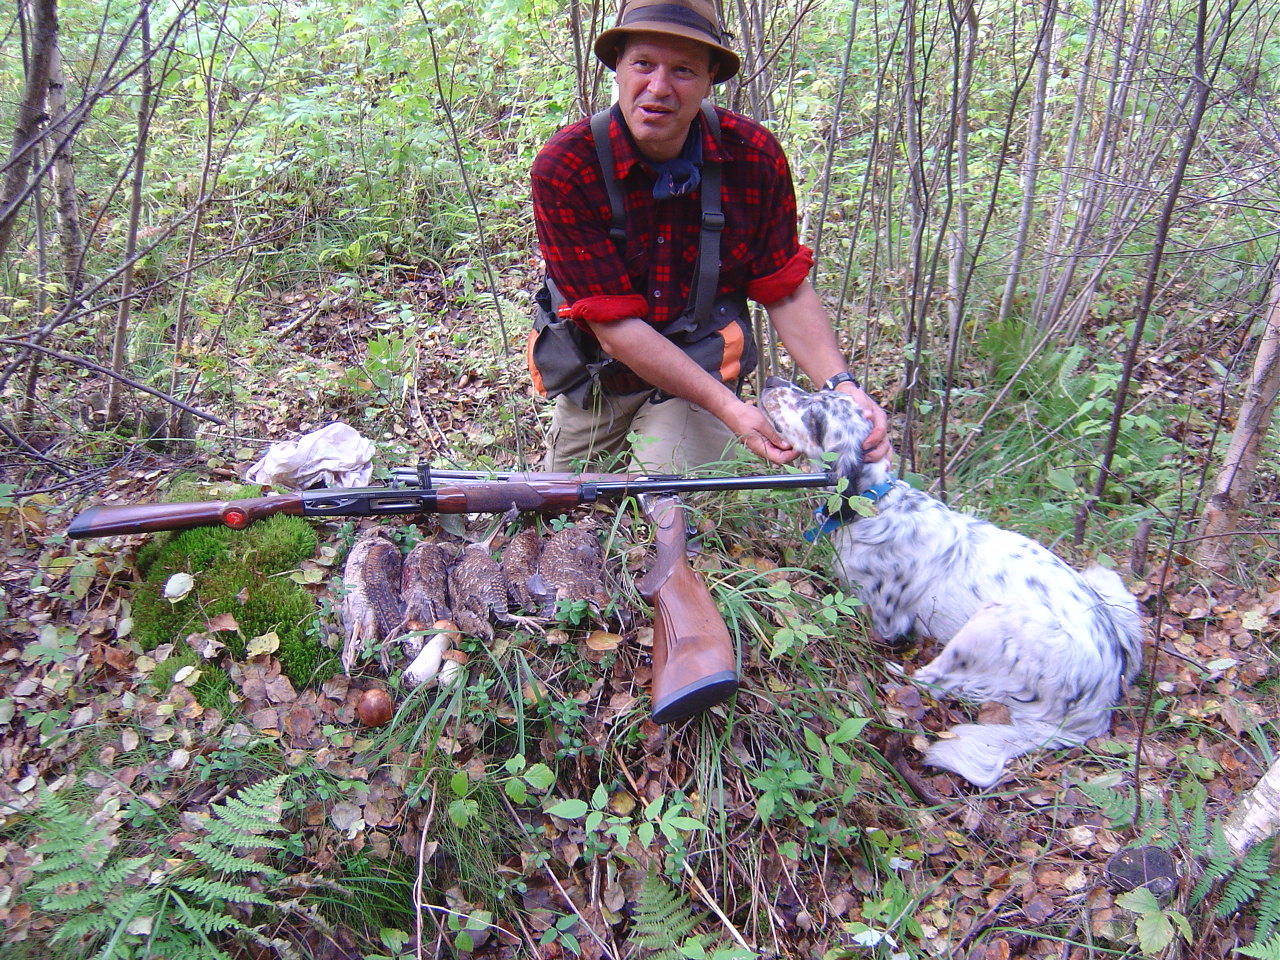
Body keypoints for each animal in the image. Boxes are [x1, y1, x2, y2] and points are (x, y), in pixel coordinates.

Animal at [752, 376, 1146, 788]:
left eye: (814, 414)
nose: (773, 380)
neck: (879, 505)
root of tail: (1097, 706)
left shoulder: (885, 618)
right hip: (1108, 585)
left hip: (995, 620)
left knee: (933, 680)